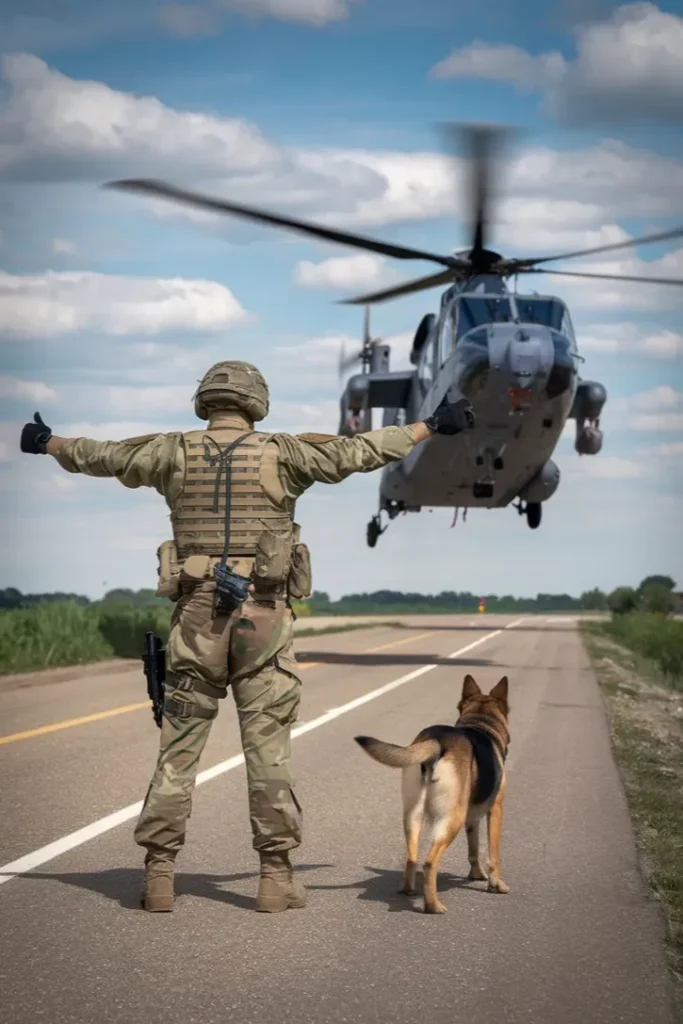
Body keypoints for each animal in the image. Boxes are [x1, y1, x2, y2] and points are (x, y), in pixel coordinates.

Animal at [356, 675, 509, 917]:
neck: (481, 721)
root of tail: (437, 741)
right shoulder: (495, 810)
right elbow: (493, 854)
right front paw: (496, 885)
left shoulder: (472, 818)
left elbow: (473, 850)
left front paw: (476, 874)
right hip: (451, 820)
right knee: (429, 862)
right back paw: (433, 905)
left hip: (413, 817)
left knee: (411, 858)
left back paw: (408, 890)